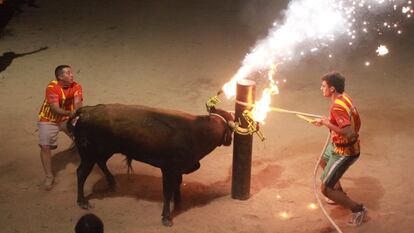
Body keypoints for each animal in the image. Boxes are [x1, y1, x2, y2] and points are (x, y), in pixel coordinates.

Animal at [69, 104, 234, 226]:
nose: (230, 140)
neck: (197, 132)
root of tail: (86, 110)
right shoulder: (168, 169)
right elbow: (167, 191)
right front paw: (167, 217)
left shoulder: (178, 169)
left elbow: (177, 184)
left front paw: (178, 202)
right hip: (88, 154)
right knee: (81, 172)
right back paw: (82, 201)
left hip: (105, 150)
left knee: (101, 162)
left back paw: (112, 183)